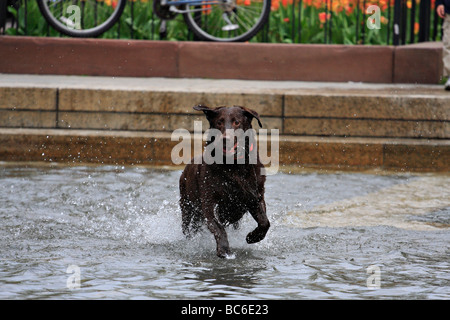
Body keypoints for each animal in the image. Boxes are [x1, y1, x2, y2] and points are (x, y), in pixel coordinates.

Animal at [179, 105, 270, 258]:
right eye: (219, 122)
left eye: (237, 122)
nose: (225, 139)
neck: (233, 165)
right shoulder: (208, 202)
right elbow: (217, 226)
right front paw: (224, 249)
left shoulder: (255, 196)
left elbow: (264, 222)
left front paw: (252, 237)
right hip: (187, 207)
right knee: (189, 228)